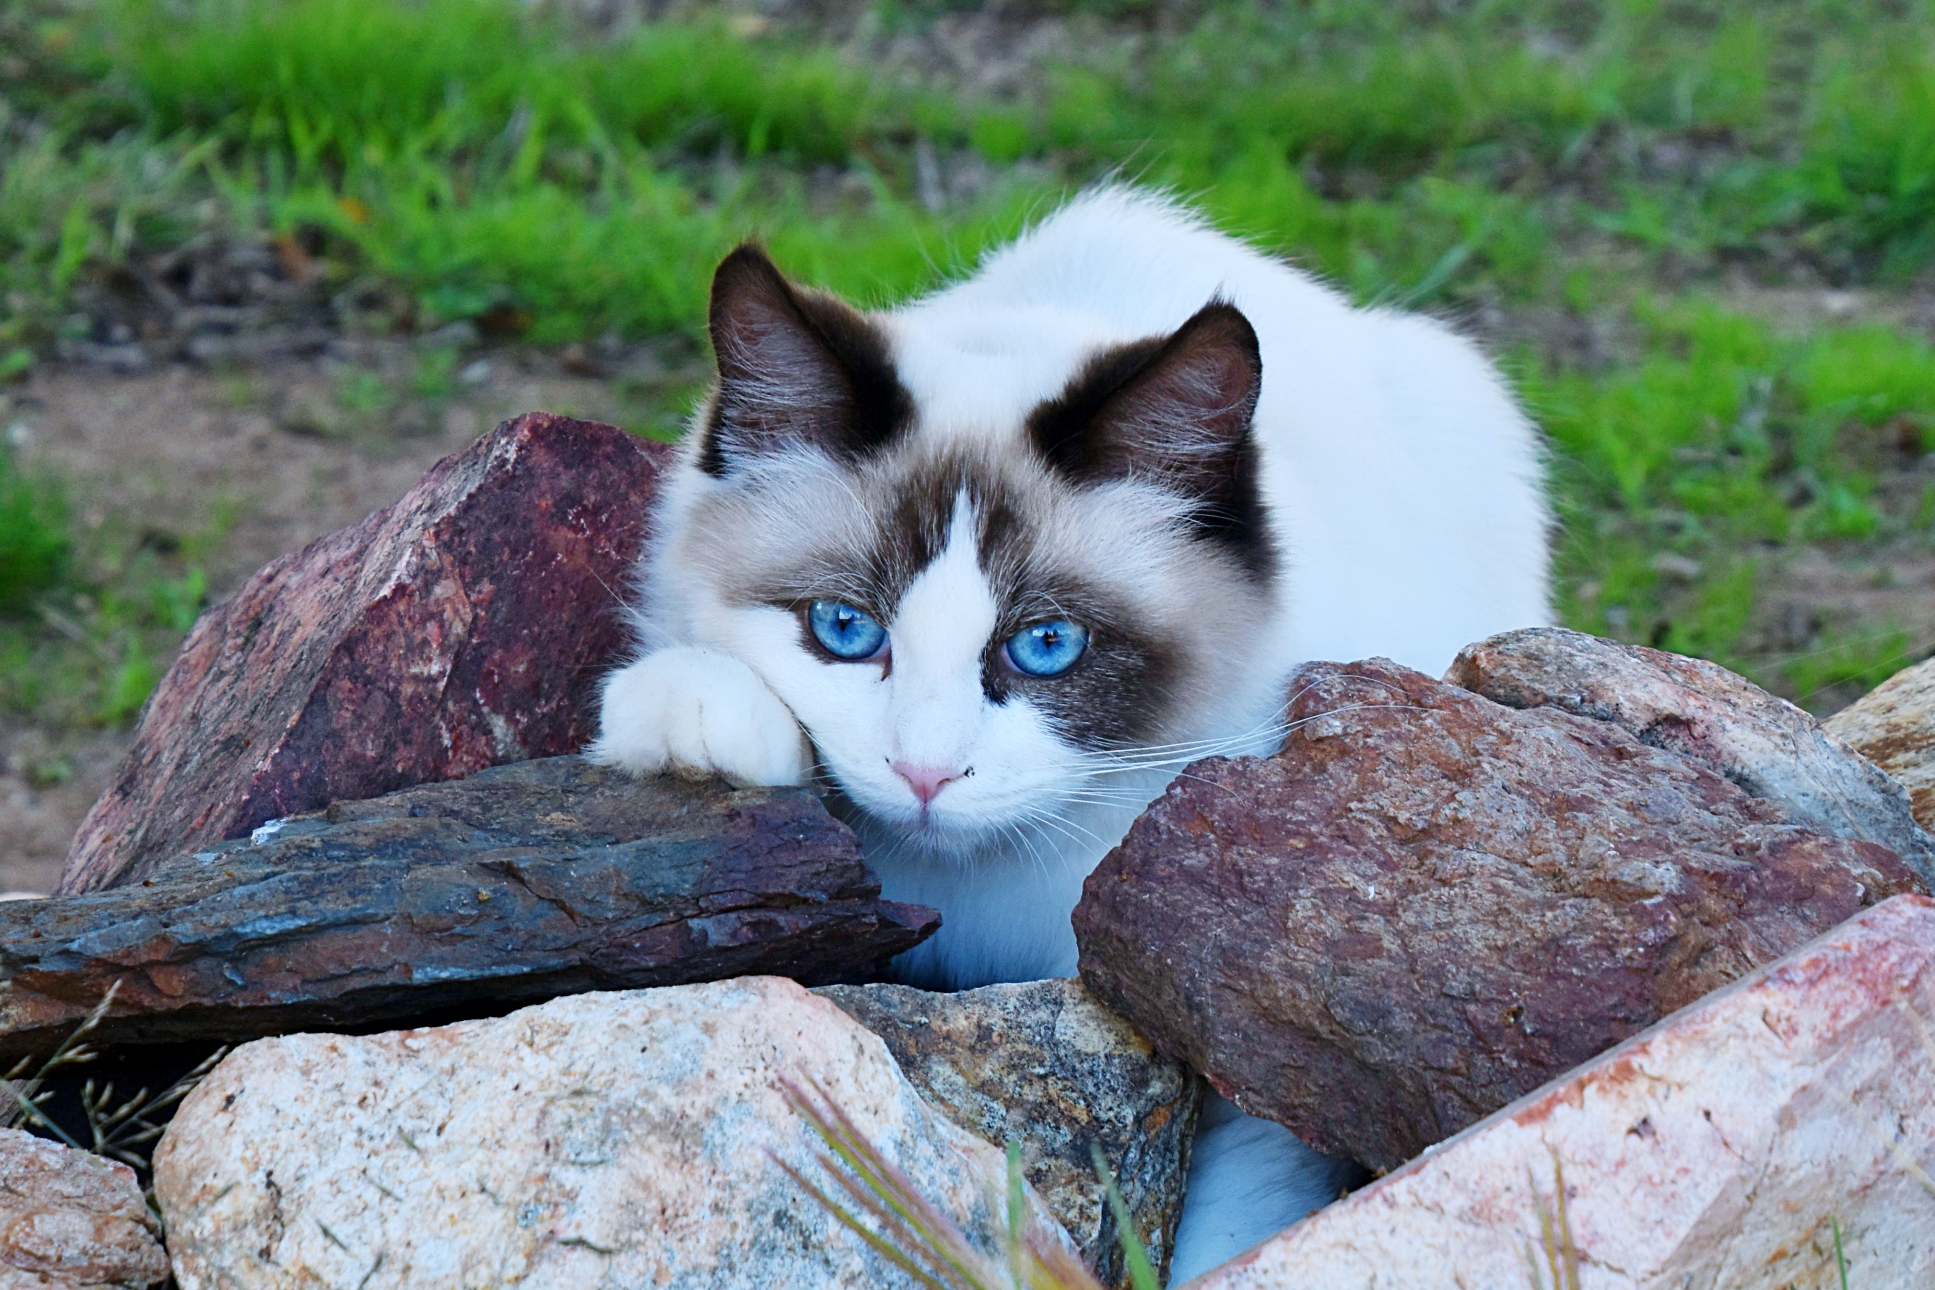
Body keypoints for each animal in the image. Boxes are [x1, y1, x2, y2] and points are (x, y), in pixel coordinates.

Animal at [588, 186, 1555, 1284]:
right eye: (844, 630)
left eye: (1046, 646)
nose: (925, 774)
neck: (985, 901)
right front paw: (706, 721)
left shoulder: (1237, 1046)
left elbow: (1229, 1226)